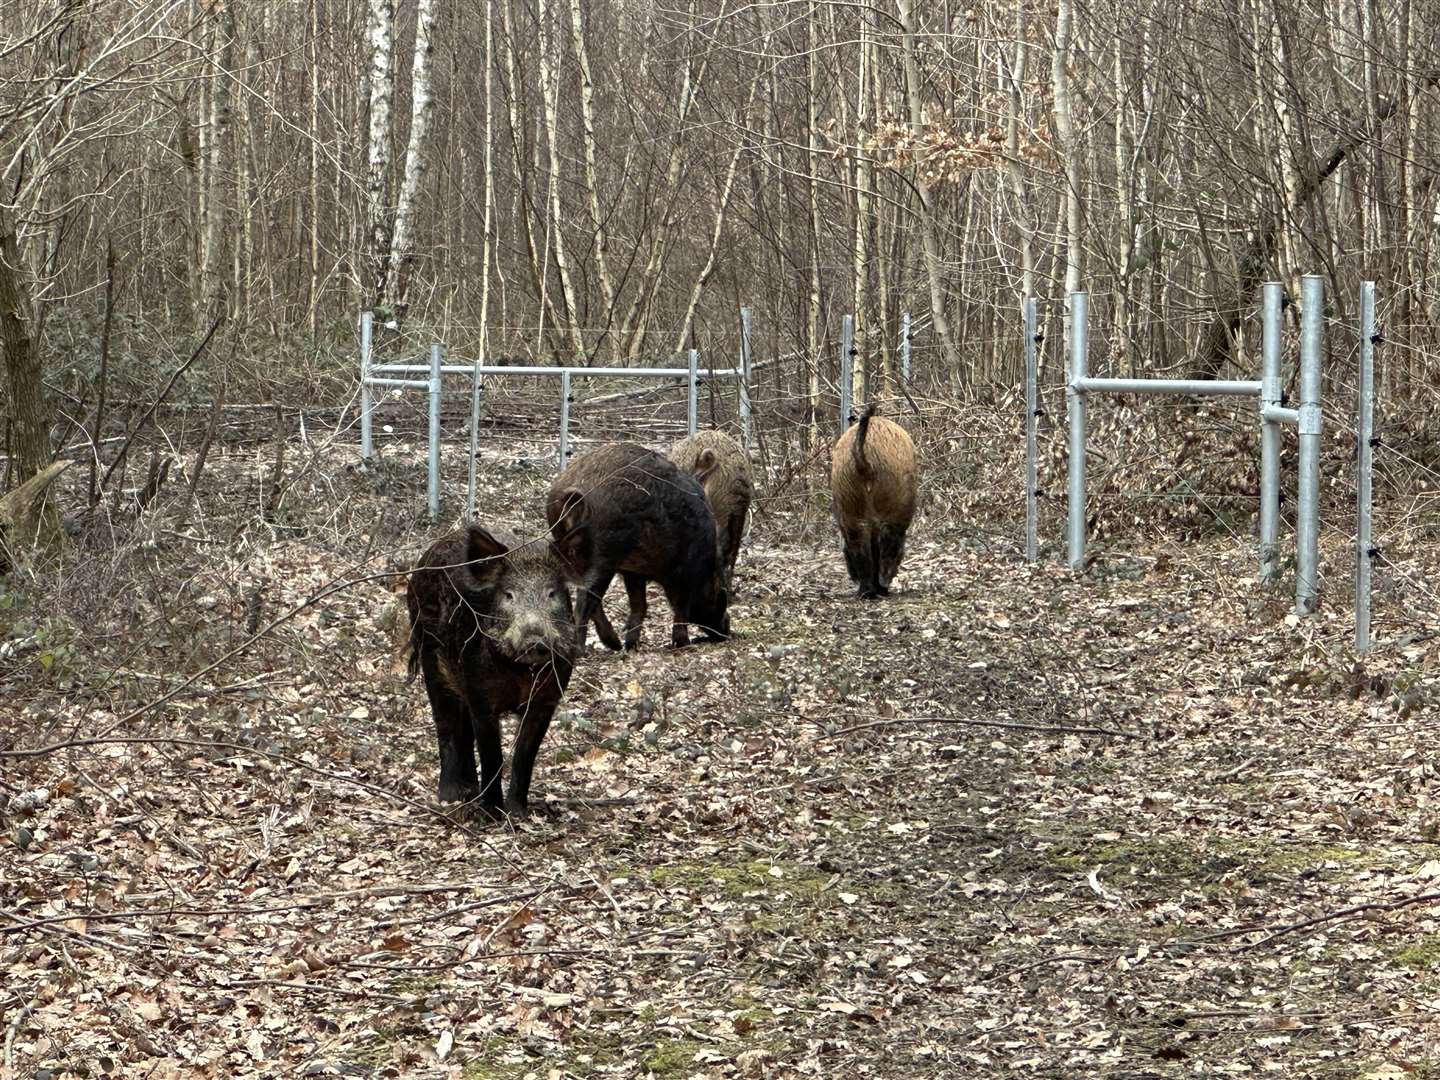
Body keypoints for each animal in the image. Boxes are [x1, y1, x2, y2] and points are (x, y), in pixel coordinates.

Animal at [403, 527, 576, 817]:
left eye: (552, 594)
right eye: (508, 595)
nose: (534, 640)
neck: (522, 672)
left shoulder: (548, 698)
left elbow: (525, 755)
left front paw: (517, 813)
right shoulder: (480, 693)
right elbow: (492, 753)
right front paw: (492, 814)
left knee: (463, 729)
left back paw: (469, 792)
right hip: (431, 656)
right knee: (446, 723)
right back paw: (451, 797)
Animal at [547, 440, 737, 650]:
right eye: (722, 591)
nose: (727, 632)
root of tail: (571, 488)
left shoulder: (634, 572)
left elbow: (640, 604)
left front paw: (631, 645)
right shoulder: (685, 570)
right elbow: (681, 606)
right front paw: (682, 644)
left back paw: (615, 645)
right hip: (603, 555)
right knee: (585, 599)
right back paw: (583, 649)